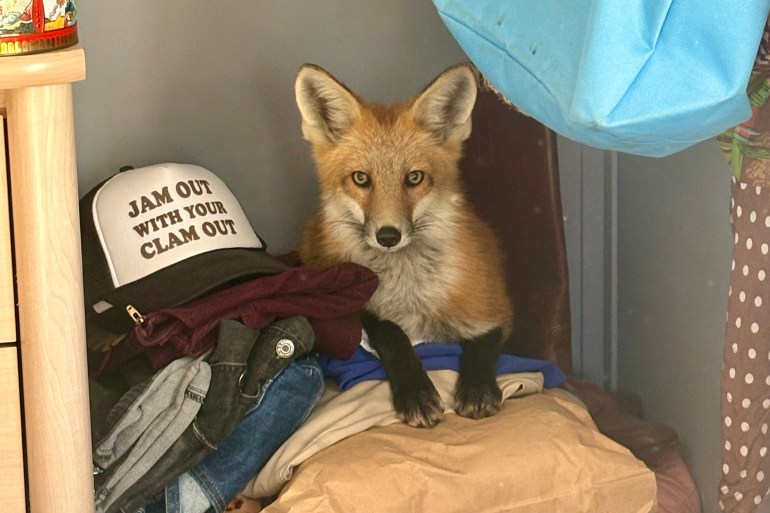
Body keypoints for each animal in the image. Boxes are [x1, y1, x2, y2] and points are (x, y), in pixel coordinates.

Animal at [294, 63, 513, 428]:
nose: (388, 236)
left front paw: (478, 388)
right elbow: (391, 333)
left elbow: (482, 343)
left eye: (414, 178)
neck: (407, 290)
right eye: (360, 178)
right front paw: (416, 392)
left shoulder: (495, 308)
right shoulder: (356, 307)